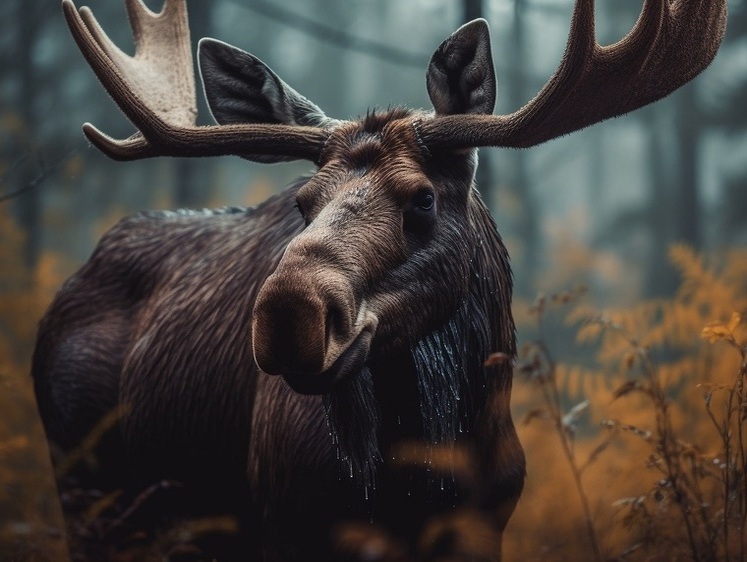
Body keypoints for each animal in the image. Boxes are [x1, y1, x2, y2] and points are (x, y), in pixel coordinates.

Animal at [32, 0, 728, 556]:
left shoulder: (487, 523)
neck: (416, 480)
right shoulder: (285, 519)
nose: (288, 313)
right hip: (84, 491)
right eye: (303, 200)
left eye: (423, 198)